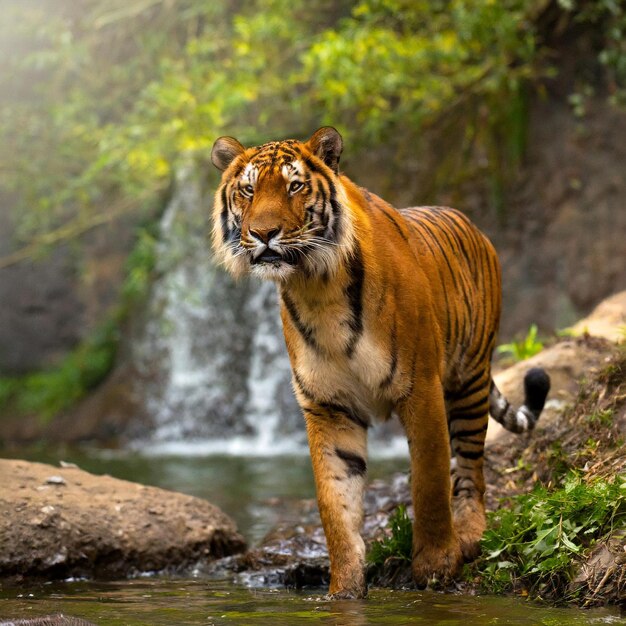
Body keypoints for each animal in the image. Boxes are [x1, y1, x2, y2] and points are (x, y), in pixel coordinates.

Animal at [212, 125, 548, 596]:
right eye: (248, 190)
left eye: (294, 186)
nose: (263, 233)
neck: (315, 287)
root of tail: (473, 226)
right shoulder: (329, 406)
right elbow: (335, 504)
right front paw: (345, 590)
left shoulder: (420, 387)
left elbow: (428, 481)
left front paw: (435, 568)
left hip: (469, 380)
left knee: (470, 469)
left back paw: (469, 532)